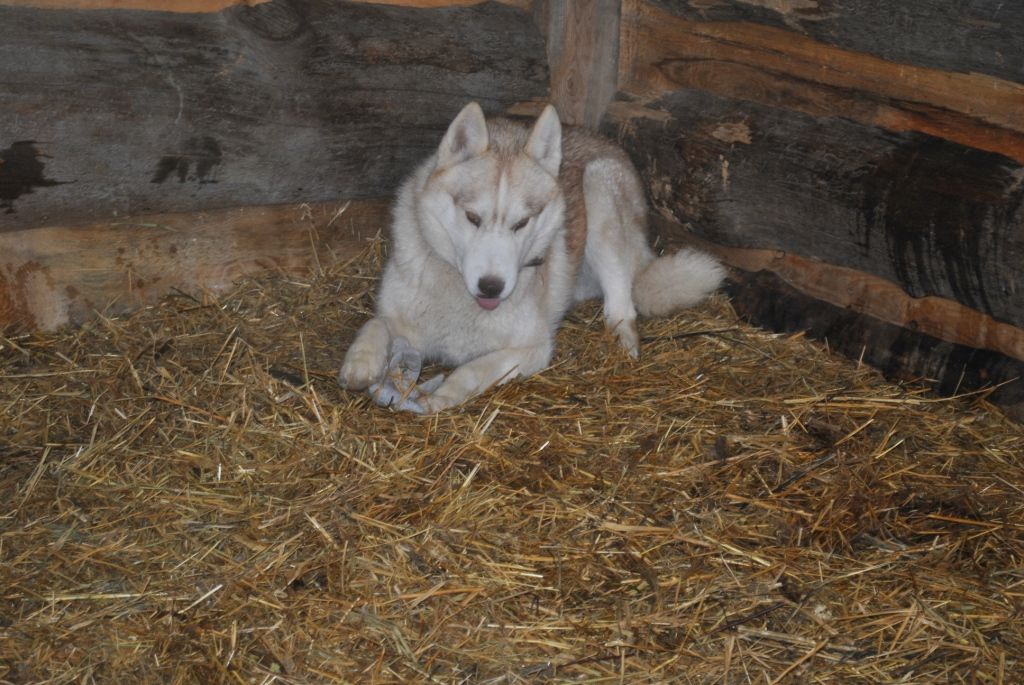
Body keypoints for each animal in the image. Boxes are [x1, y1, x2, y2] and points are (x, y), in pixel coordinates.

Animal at [338, 102, 725, 413]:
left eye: (521, 223)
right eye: (473, 218)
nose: (492, 287)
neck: (462, 300)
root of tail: (600, 138)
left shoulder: (532, 349)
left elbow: (470, 371)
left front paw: (441, 397)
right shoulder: (397, 318)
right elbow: (375, 324)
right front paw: (360, 362)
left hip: (598, 188)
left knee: (623, 303)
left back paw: (622, 344)